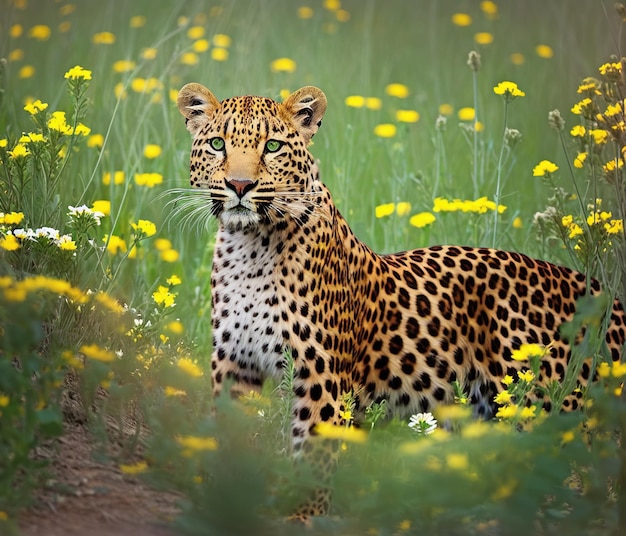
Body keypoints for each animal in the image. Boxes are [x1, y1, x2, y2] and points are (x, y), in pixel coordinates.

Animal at [174, 82, 624, 520]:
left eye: (271, 146)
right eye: (217, 144)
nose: (239, 186)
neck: (248, 248)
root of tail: (600, 293)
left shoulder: (319, 380)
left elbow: (313, 460)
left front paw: (301, 516)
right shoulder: (235, 366)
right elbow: (230, 442)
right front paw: (227, 501)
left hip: (546, 415)